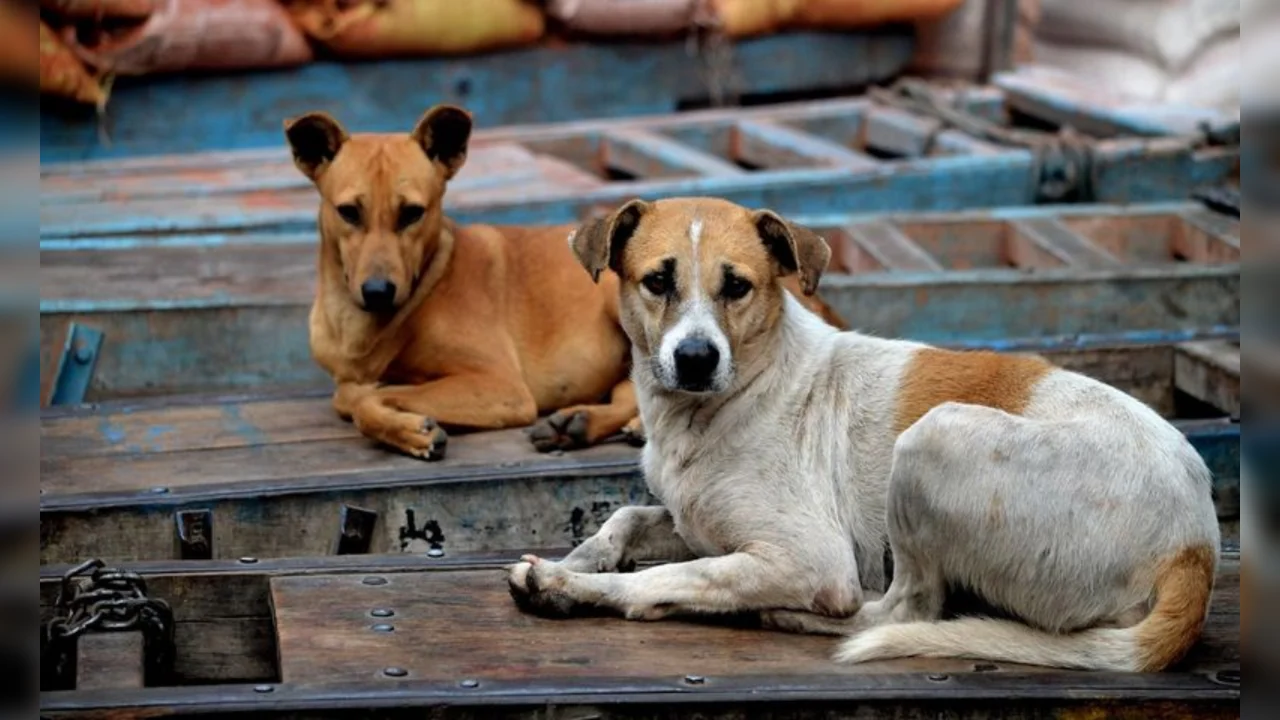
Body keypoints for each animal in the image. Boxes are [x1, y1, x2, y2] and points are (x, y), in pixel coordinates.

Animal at [285, 103, 844, 456]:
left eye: (412, 213)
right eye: (349, 212)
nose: (378, 292)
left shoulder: (501, 387)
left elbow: (358, 398)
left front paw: (411, 428)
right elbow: (352, 392)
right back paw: (580, 423)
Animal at [506, 194, 1218, 666]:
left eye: (737, 287)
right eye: (658, 280)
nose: (696, 359)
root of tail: (1197, 546)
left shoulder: (810, 558)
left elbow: (665, 578)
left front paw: (570, 586)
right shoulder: (698, 522)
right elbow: (627, 517)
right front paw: (583, 556)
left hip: (933, 438)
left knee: (903, 609)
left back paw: (791, 616)